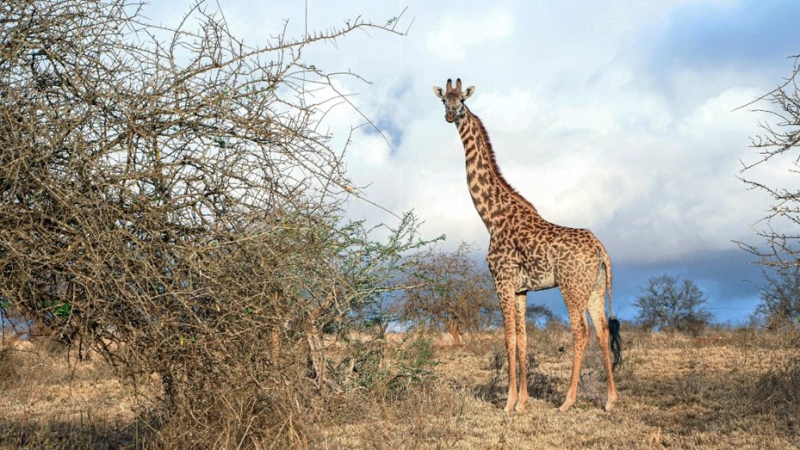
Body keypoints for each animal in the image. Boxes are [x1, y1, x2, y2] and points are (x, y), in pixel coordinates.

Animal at [434, 76, 620, 412]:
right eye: (444, 100)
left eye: (462, 101)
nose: (451, 115)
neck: (491, 217)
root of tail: (601, 249)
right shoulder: (521, 289)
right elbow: (522, 340)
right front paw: (522, 401)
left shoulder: (502, 281)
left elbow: (508, 338)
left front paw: (509, 403)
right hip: (596, 288)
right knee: (601, 331)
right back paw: (610, 400)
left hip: (571, 286)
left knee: (581, 332)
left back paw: (567, 401)